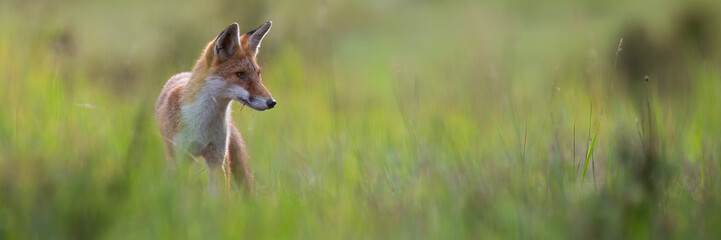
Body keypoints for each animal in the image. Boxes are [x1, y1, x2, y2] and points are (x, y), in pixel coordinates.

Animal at [155, 22, 276, 195]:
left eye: (258, 74)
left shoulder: (216, 159)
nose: (272, 102)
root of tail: (183, 74)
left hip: (232, 161)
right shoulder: (181, 160)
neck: (203, 125)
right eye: (240, 74)